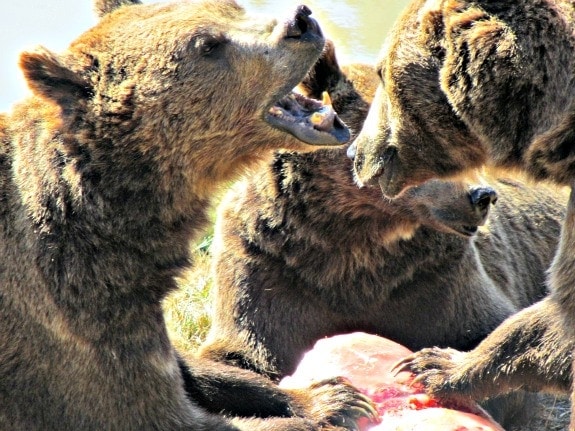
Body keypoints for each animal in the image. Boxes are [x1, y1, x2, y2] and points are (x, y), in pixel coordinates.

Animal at [0, 0, 378, 431]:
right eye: (208, 45)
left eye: (232, 8)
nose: (301, 21)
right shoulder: (67, 319)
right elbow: (158, 410)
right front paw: (329, 403)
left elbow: (202, 373)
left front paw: (331, 396)